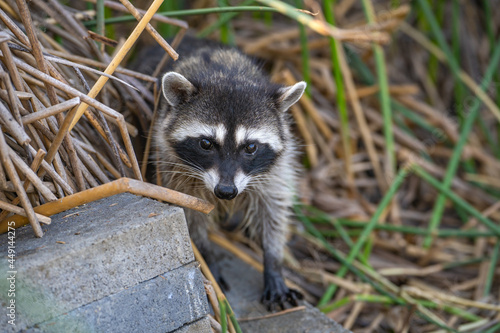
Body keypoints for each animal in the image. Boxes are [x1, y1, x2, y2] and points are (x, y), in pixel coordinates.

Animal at [154, 39, 306, 308]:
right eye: (206, 144)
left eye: (251, 147)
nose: (226, 191)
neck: (226, 75)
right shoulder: (173, 166)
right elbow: (190, 215)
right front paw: (207, 255)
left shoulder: (275, 169)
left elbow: (273, 210)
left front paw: (273, 260)